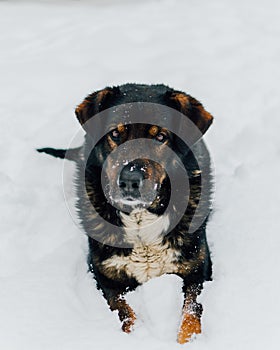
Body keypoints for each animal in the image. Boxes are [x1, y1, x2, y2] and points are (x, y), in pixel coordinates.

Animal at [37, 83, 214, 344]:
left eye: (160, 137)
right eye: (115, 134)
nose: (130, 180)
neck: (140, 219)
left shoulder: (198, 269)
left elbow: (191, 310)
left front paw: (188, 340)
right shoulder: (105, 277)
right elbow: (125, 312)